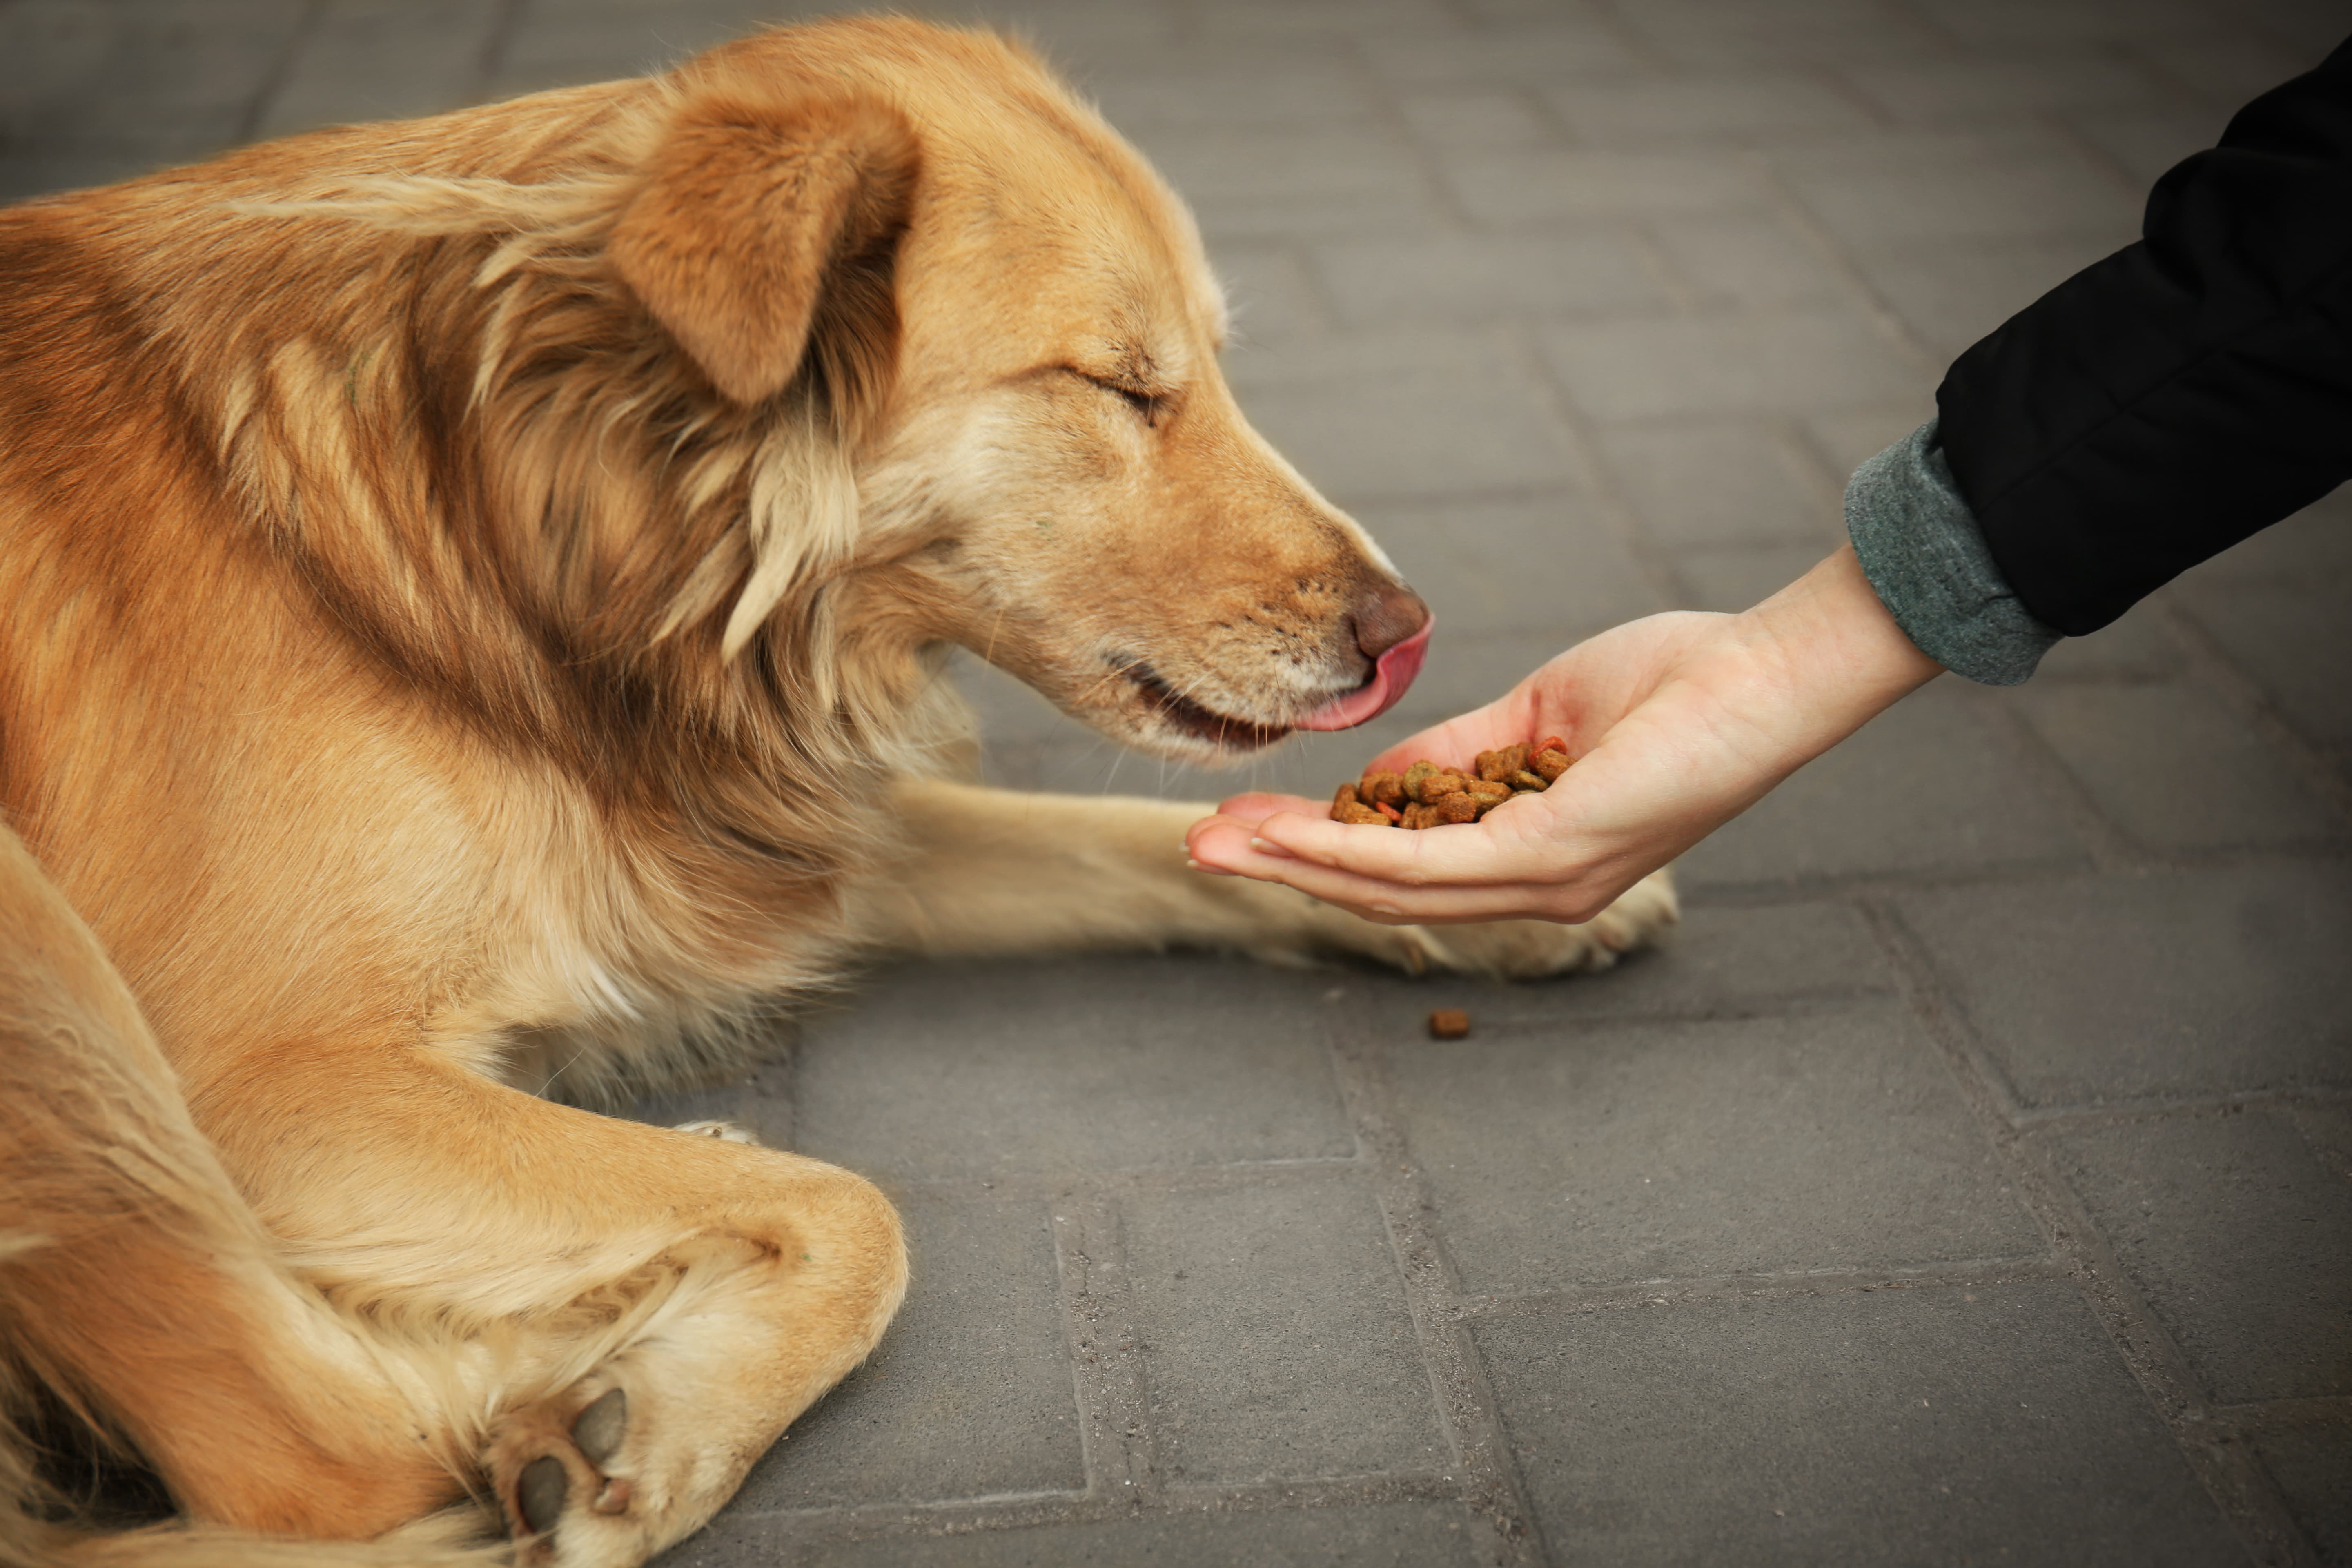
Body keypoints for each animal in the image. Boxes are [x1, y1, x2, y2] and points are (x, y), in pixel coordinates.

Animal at [0, 18, 1675, 1561]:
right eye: (1118, 385)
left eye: (1203, 364)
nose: (1407, 632)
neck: (516, 529)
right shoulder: (270, 1079)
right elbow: (860, 1211)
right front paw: (649, 1413)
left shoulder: (777, 845)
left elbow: (1145, 841)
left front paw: (1503, 901)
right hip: (53, 977)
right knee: (306, 1461)